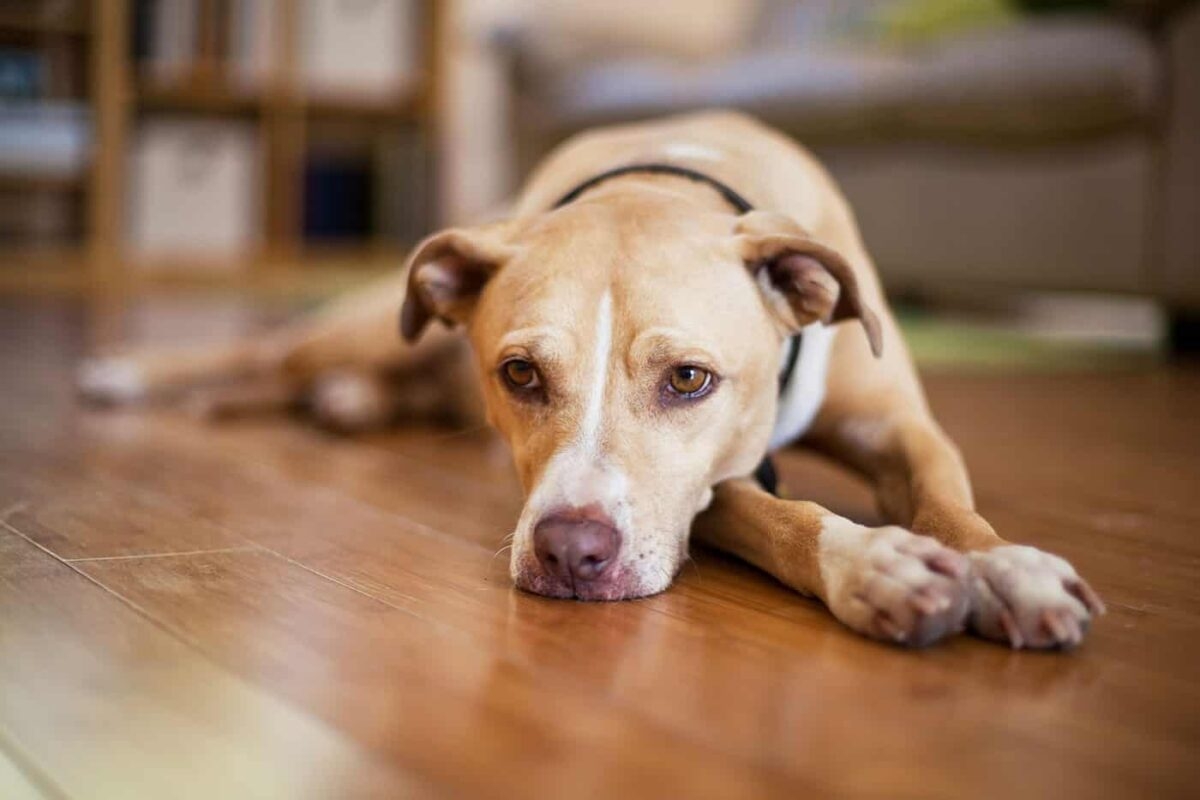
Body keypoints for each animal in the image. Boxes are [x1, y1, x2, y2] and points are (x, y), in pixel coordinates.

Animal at [77, 110, 1104, 652]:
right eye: (520, 373)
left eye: (689, 378)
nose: (571, 554)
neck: (665, 178)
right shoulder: (709, 490)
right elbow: (785, 518)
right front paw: (878, 563)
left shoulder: (901, 430)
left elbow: (953, 504)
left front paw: (1009, 572)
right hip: (369, 328)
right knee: (269, 352)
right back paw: (130, 372)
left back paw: (342, 404)